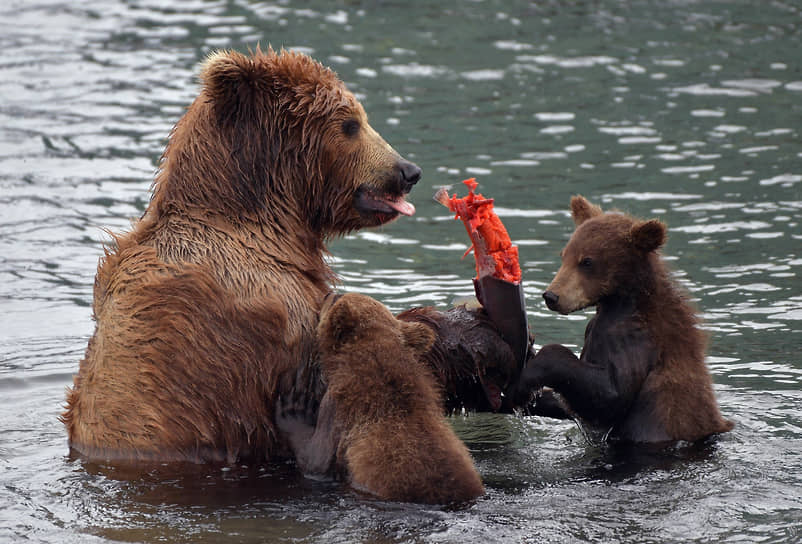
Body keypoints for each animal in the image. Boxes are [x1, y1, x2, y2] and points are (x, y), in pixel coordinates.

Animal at [514, 196, 733, 444]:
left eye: (586, 261)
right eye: (564, 255)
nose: (552, 296)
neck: (620, 301)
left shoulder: (634, 338)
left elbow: (611, 396)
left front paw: (530, 373)